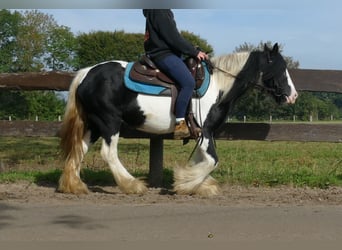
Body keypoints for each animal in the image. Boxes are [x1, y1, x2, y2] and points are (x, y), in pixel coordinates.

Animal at [58, 44, 296, 197]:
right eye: (280, 69)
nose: (292, 96)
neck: (218, 85)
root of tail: (86, 74)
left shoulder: (203, 134)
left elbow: (203, 160)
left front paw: (199, 185)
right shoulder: (205, 130)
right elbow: (212, 161)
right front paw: (186, 182)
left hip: (94, 124)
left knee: (79, 149)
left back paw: (74, 186)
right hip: (109, 122)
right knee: (109, 153)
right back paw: (132, 185)